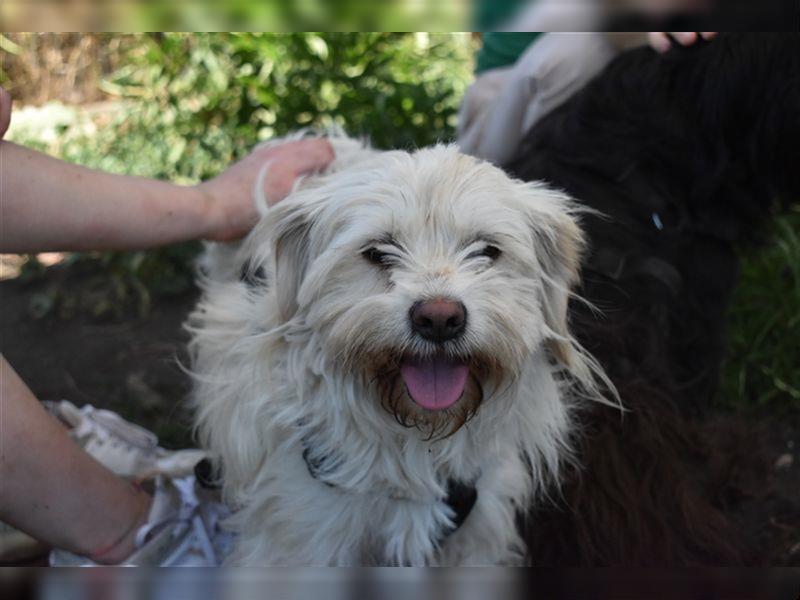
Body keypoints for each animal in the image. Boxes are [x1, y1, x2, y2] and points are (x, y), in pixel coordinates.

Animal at [188, 135, 612, 564]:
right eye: (377, 252)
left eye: (487, 250)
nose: (439, 319)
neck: (417, 447)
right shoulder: (301, 540)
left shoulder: (475, 539)